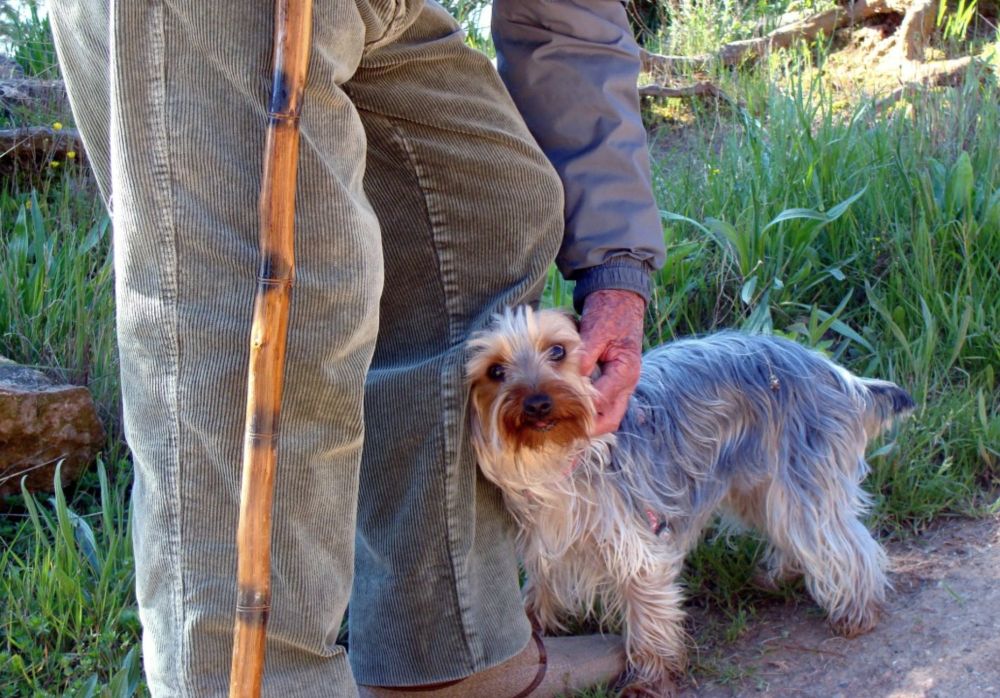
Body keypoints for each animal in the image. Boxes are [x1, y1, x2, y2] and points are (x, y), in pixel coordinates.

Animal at [466, 308, 916, 692]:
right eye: (495, 371)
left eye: (558, 351)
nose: (538, 403)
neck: (555, 456)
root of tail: (837, 375)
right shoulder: (547, 537)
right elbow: (539, 586)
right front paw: (532, 631)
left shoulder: (638, 542)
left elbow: (647, 610)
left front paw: (648, 679)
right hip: (757, 483)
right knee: (791, 529)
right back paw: (777, 575)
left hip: (803, 472)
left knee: (840, 539)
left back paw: (857, 611)